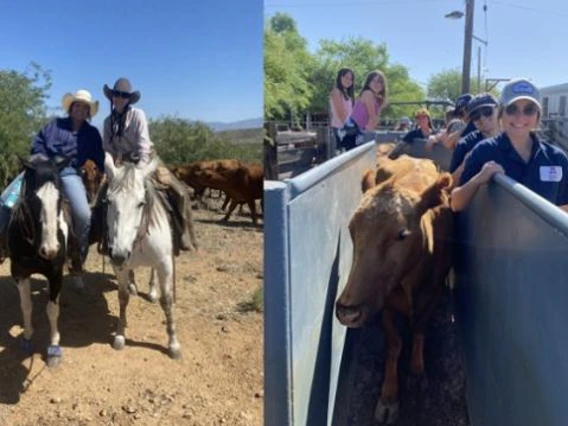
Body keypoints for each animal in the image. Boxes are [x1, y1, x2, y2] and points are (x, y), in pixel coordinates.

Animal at [8, 155, 72, 368]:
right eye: (33, 200)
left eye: (60, 199)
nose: (50, 250)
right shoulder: (19, 273)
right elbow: (26, 306)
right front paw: (27, 337)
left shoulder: (55, 273)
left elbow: (52, 310)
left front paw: (54, 347)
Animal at [103, 153, 181, 360]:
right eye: (109, 201)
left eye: (141, 203)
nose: (119, 254)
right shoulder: (119, 266)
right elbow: (122, 297)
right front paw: (120, 335)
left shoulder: (165, 264)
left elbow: (167, 301)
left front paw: (173, 344)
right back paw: (133, 286)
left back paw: (152, 292)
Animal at [338, 156, 452, 426]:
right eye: (352, 229)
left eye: (402, 234)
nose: (348, 312)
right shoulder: (385, 303)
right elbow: (394, 345)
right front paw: (389, 397)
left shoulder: (433, 294)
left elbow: (420, 330)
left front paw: (417, 370)